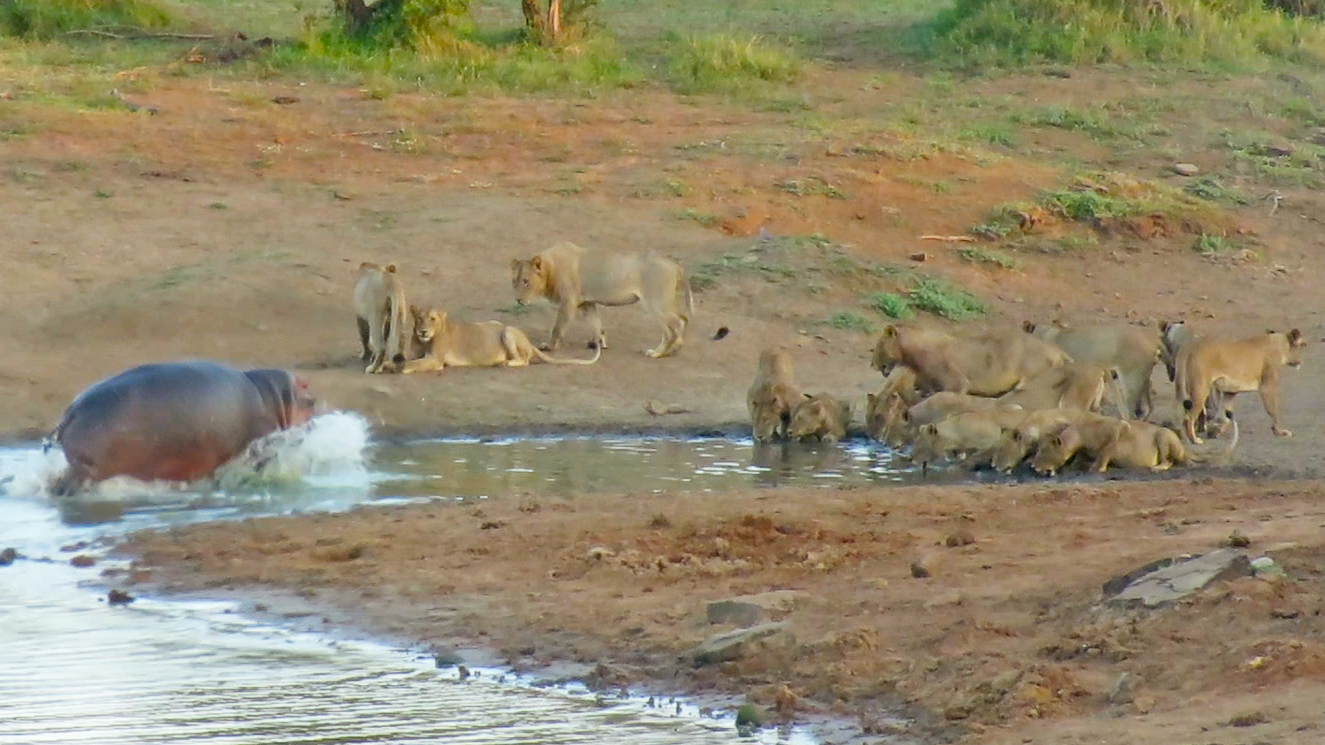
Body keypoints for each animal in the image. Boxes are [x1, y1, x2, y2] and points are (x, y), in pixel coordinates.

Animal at [47, 361, 317, 496]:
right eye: (310, 399)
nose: (313, 423)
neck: (274, 396)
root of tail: (72, 411)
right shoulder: (260, 440)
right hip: (89, 468)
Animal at [399, 307, 601, 374]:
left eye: (432, 319)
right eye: (419, 318)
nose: (423, 331)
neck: (424, 341)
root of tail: (530, 343)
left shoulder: (435, 360)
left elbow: (414, 363)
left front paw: (401, 368)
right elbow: (407, 358)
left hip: (507, 331)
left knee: (524, 360)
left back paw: (505, 363)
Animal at [511, 241, 694, 359]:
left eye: (526, 281)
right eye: (514, 281)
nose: (518, 300)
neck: (551, 267)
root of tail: (675, 265)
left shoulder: (569, 302)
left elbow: (558, 328)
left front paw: (549, 347)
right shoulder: (586, 303)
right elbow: (595, 324)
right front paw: (598, 344)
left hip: (653, 304)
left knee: (674, 326)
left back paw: (658, 353)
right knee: (683, 319)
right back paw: (674, 349)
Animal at [1174, 327, 1306, 444]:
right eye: (1303, 345)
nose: (1301, 361)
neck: (1279, 344)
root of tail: (1190, 346)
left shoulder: (1230, 392)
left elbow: (1226, 416)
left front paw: (1217, 431)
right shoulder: (1267, 387)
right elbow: (1273, 411)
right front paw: (1280, 432)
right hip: (1201, 389)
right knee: (1188, 418)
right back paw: (1194, 440)